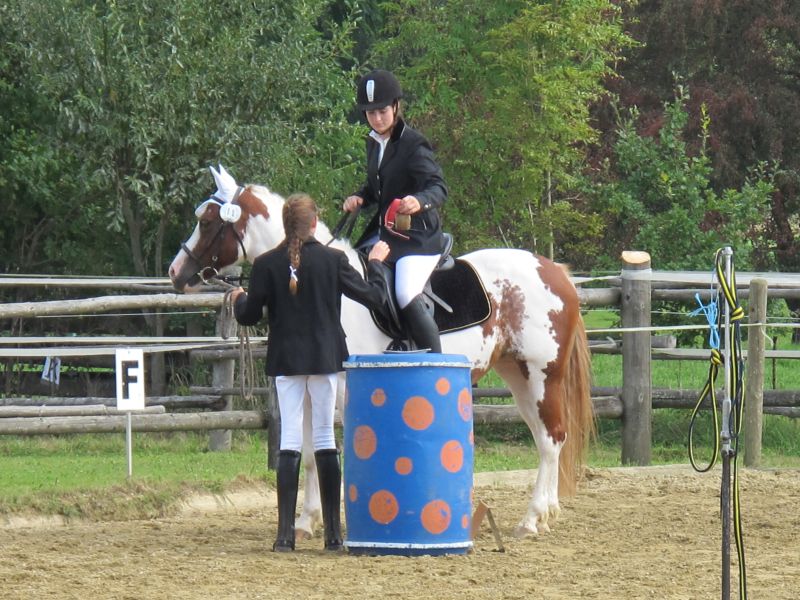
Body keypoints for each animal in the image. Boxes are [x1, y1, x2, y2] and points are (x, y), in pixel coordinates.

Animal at [168, 165, 594, 538]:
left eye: (209, 222)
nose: (175, 272)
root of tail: (553, 270)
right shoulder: (305, 390)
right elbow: (307, 454)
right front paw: (305, 522)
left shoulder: (337, 391)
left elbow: (329, 454)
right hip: (518, 376)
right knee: (545, 439)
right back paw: (546, 512)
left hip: (542, 374)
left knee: (552, 438)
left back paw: (532, 519)